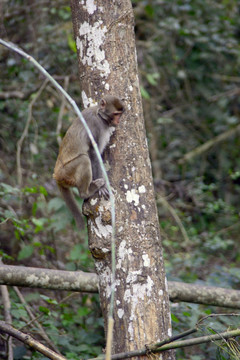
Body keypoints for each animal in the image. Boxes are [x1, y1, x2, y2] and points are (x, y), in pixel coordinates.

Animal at [53, 95, 124, 229]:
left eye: (120, 114)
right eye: (115, 114)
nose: (118, 121)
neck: (100, 115)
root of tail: (56, 176)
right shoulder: (96, 127)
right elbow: (93, 154)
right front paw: (103, 187)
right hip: (66, 173)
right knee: (84, 160)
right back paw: (86, 192)